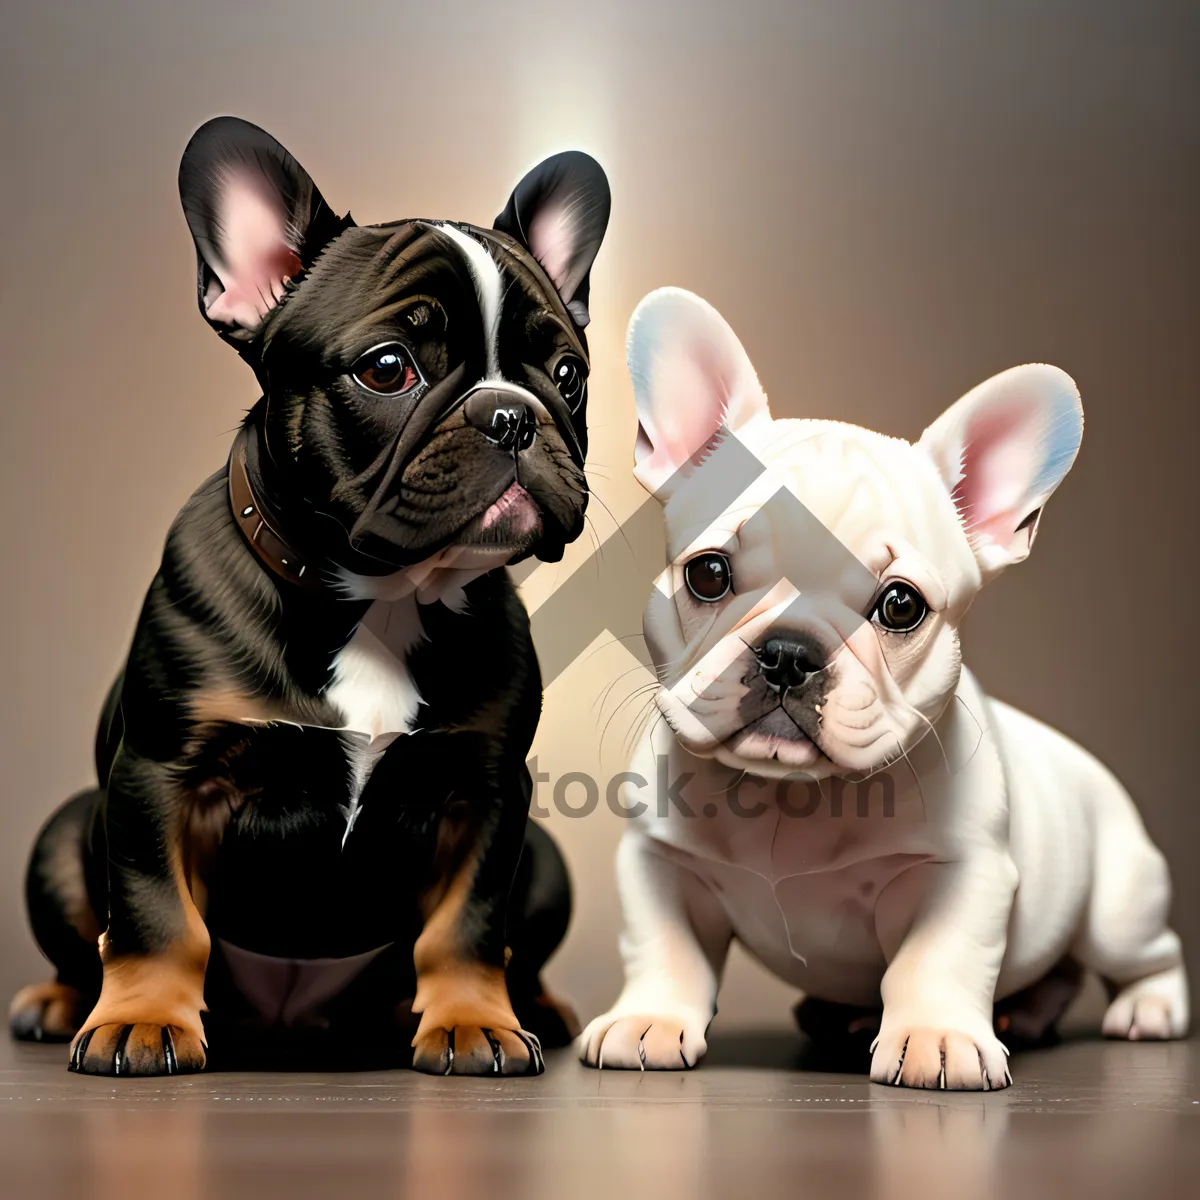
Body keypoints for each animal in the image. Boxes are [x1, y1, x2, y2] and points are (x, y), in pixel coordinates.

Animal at [9, 119, 609, 1080]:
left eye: (567, 372)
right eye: (389, 368)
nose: (512, 414)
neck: (383, 597)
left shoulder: (488, 792)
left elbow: (470, 924)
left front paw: (473, 1022)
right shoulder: (160, 774)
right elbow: (153, 913)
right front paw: (141, 1019)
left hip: (546, 858)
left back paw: (530, 1009)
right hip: (65, 834)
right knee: (86, 934)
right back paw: (65, 1001)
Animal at [580, 288, 1190, 1089]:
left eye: (900, 606)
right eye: (708, 573)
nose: (788, 653)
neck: (793, 799)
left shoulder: (960, 874)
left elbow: (937, 958)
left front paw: (936, 1037)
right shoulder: (658, 863)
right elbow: (663, 947)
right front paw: (649, 1018)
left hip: (1117, 908)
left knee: (1147, 954)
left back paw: (1147, 1009)